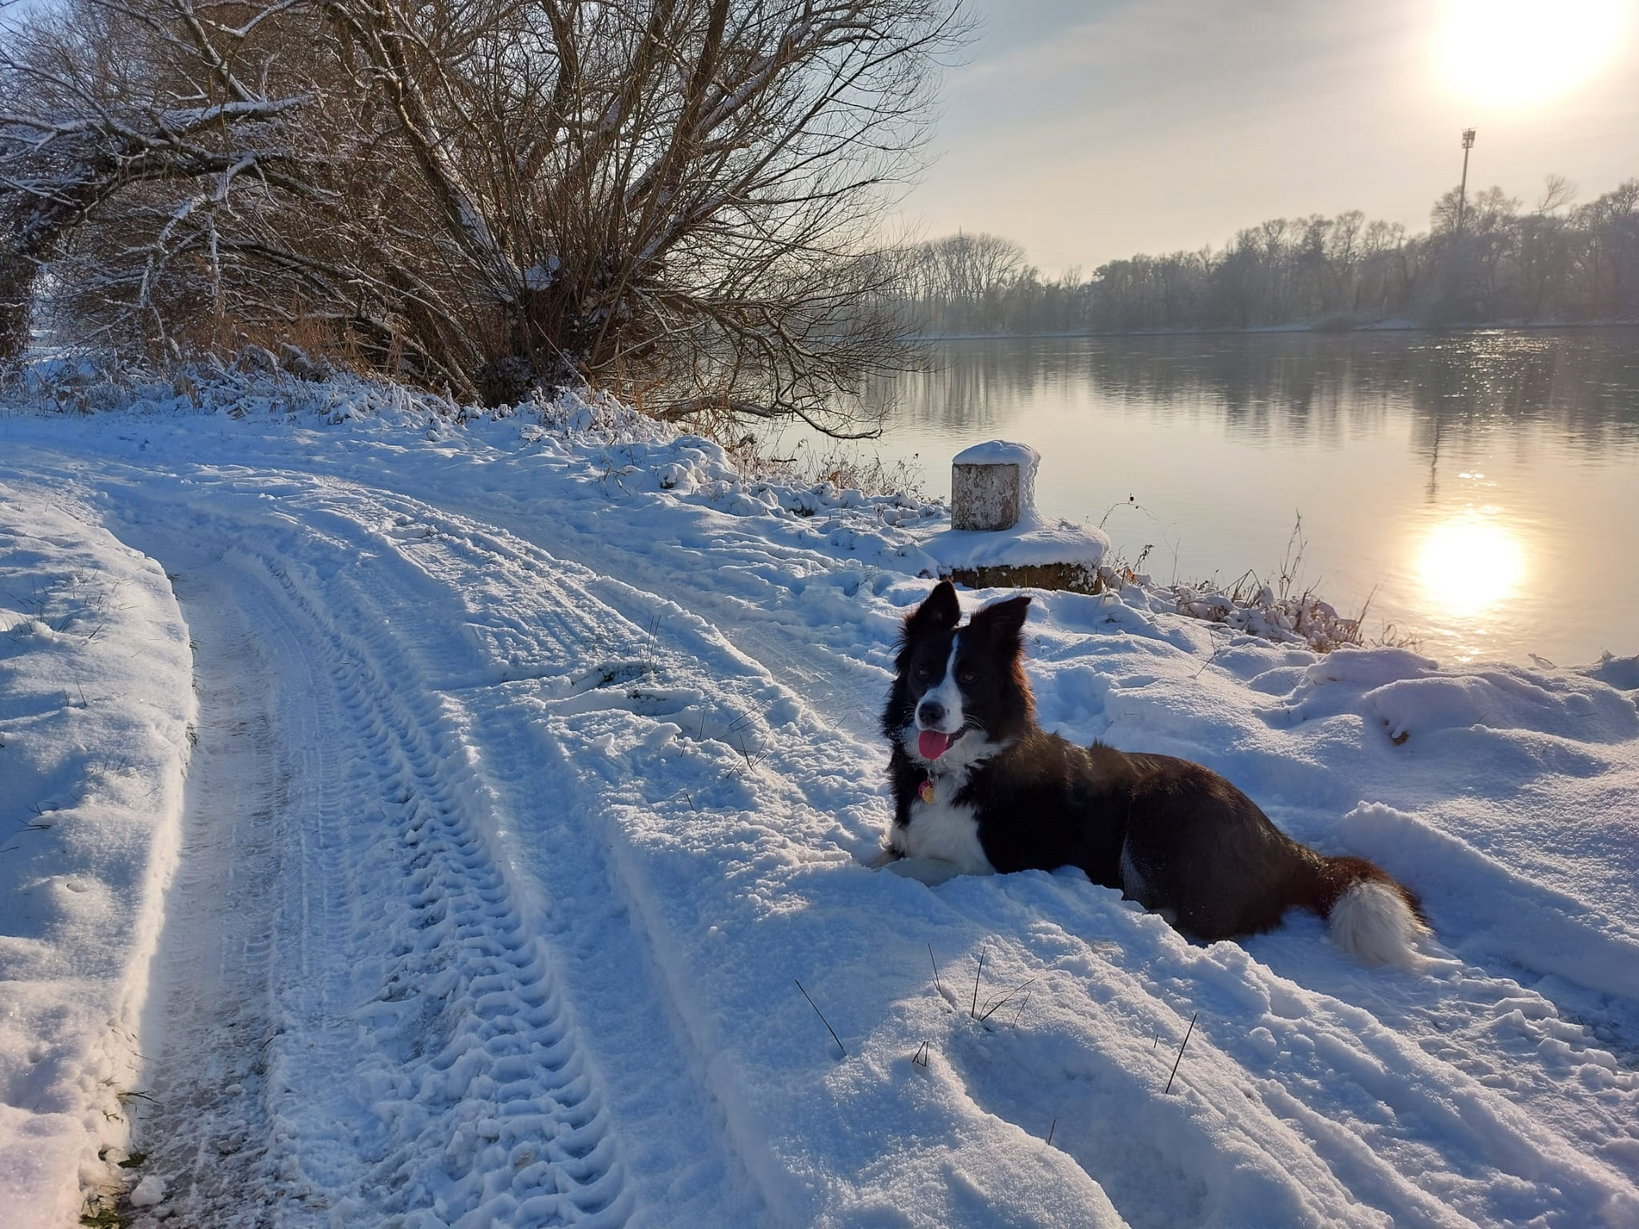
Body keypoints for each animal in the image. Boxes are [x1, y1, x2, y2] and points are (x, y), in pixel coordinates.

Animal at [878, 583, 1429, 970]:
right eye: (924, 671)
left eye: (969, 678)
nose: (929, 712)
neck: (965, 765)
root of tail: (1281, 842)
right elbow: (883, 856)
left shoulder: (990, 864)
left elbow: (904, 870)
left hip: (1159, 812)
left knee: (1204, 917)